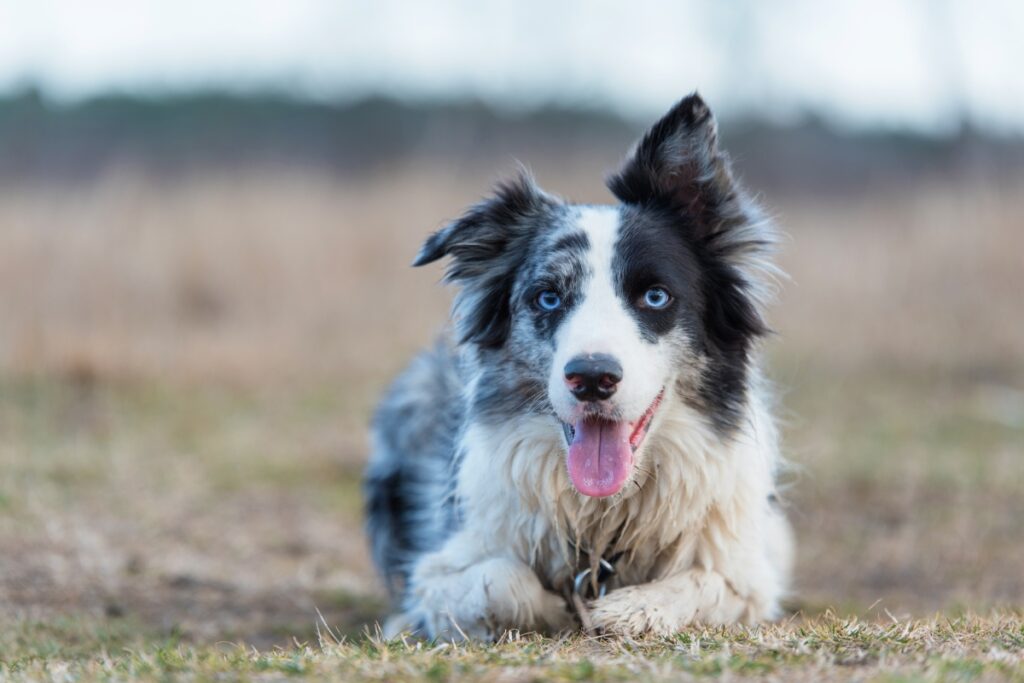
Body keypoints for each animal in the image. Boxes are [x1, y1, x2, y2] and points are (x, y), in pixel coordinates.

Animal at [362, 92, 790, 643]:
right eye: (548, 297)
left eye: (655, 296)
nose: (591, 378)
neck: (602, 517)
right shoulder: (443, 563)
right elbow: (500, 582)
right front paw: (557, 609)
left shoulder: (749, 572)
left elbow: (702, 583)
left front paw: (630, 609)